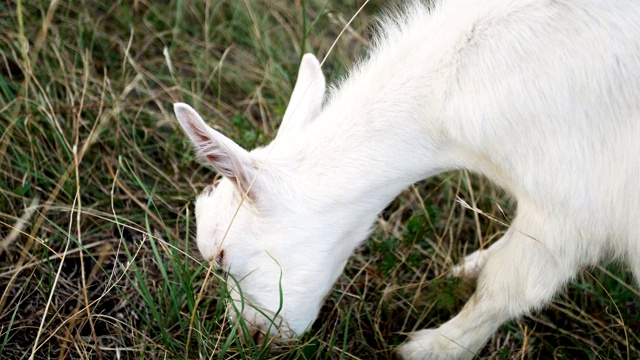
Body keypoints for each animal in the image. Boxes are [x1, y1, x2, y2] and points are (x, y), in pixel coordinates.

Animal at [174, 0, 640, 358]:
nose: (248, 335)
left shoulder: (573, 204)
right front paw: (470, 265)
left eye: (220, 257)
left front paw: (434, 348)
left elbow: (505, 288)